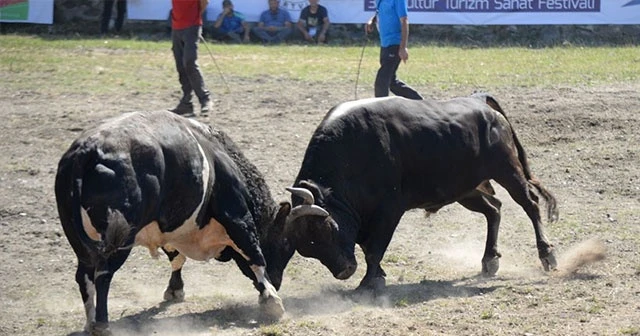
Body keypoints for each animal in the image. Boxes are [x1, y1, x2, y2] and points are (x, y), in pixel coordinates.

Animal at [55, 111, 290, 334]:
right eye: (281, 245)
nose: (278, 281)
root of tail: (87, 151)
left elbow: (177, 258)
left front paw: (175, 289)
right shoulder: (236, 214)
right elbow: (254, 255)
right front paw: (272, 299)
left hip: (80, 242)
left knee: (84, 277)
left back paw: (90, 322)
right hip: (118, 240)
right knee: (103, 275)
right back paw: (102, 324)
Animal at [278, 94, 556, 292]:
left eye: (326, 228)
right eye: (308, 248)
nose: (345, 270)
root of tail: (484, 106)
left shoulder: (389, 210)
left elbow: (374, 248)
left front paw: (368, 283)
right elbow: (368, 246)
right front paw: (378, 276)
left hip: (508, 171)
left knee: (530, 204)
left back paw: (547, 255)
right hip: (465, 190)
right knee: (494, 209)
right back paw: (489, 260)